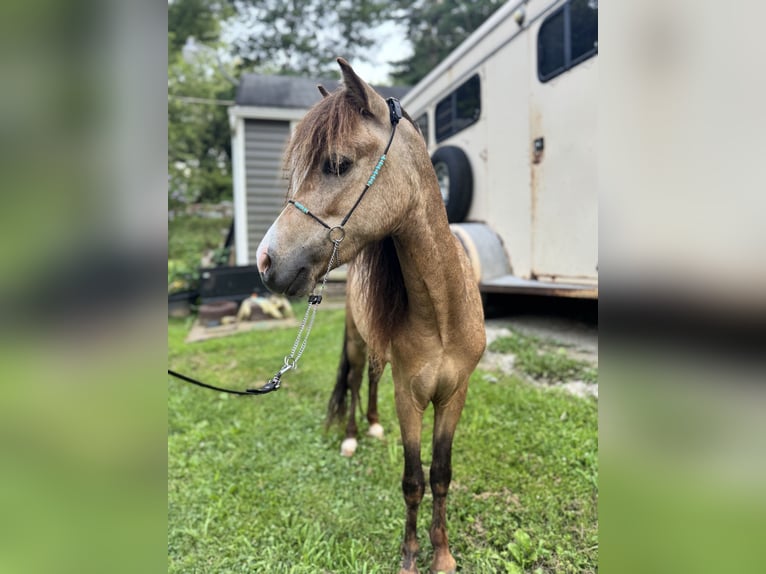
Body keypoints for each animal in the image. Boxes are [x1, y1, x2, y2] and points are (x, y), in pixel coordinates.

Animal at [256, 57, 486, 574]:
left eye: (338, 163)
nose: (265, 260)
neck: (444, 313)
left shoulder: (453, 396)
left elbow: (441, 475)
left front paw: (442, 555)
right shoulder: (411, 398)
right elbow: (413, 481)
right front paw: (410, 557)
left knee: (372, 382)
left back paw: (374, 424)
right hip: (358, 344)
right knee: (357, 378)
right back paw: (352, 436)